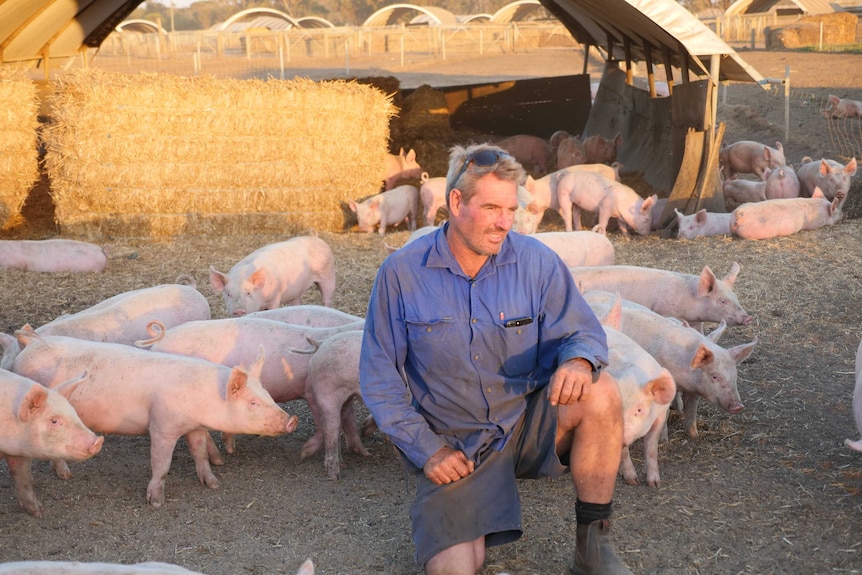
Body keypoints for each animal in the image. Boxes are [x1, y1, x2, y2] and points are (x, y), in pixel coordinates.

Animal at [0, 372, 104, 520]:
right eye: (54, 421)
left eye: (75, 413)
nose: (98, 441)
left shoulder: (19, 451)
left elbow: (23, 478)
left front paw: (38, 512)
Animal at [9, 332, 300, 508]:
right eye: (253, 403)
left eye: (267, 394)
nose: (292, 420)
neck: (205, 397)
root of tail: (30, 346)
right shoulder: (162, 426)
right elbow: (162, 464)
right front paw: (156, 503)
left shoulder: (194, 428)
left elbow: (200, 455)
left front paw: (214, 484)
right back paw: (66, 477)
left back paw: (66, 476)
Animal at [209, 234, 338, 316]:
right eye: (228, 294)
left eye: (249, 293)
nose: (238, 311)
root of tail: (315, 237)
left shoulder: (275, 297)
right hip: (296, 289)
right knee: (297, 302)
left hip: (329, 274)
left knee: (327, 296)